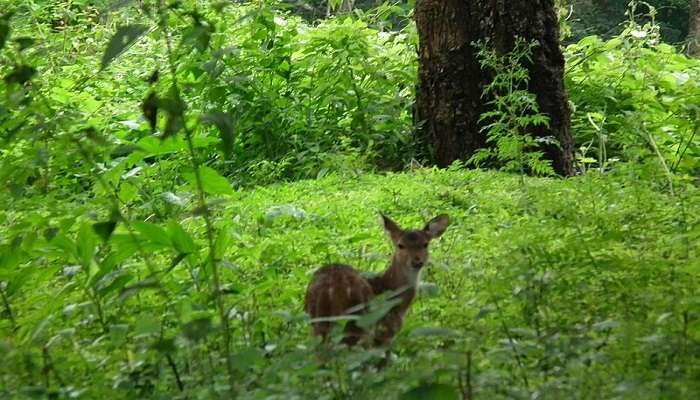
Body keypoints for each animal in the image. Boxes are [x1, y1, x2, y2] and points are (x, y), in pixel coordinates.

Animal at [304, 214, 448, 354]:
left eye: (425, 244)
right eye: (400, 245)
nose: (417, 261)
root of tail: (330, 290)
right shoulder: (384, 333)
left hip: (318, 323)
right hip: (360, 324)